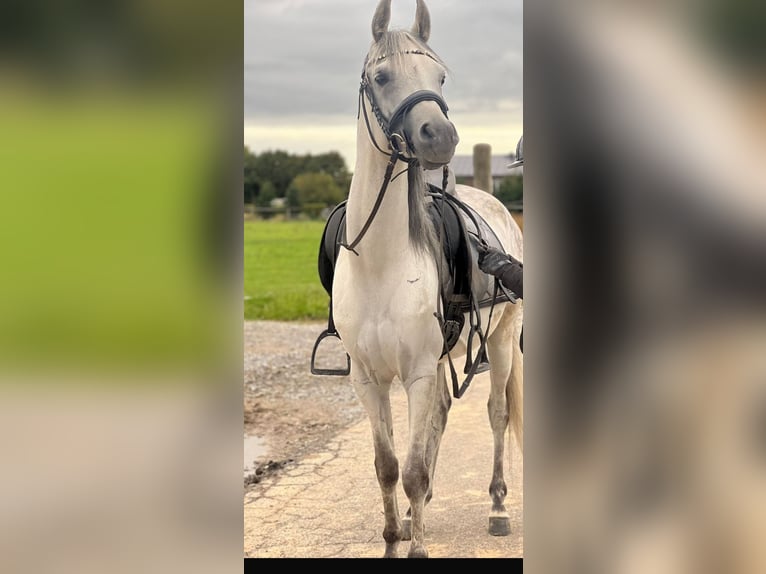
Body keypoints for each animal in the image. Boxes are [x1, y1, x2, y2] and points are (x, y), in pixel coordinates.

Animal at [330, 0, 523, 558]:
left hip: (502, 341)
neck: (380, 260)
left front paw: (415, 546)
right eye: (381, 76)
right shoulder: (368, 379)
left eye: (439, 76)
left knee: (497, 413)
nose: (441, 137)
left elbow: (412, 469)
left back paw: (497, 506)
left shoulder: (415, 371)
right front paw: (396, 538)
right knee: (440, 413)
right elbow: (388, 467)